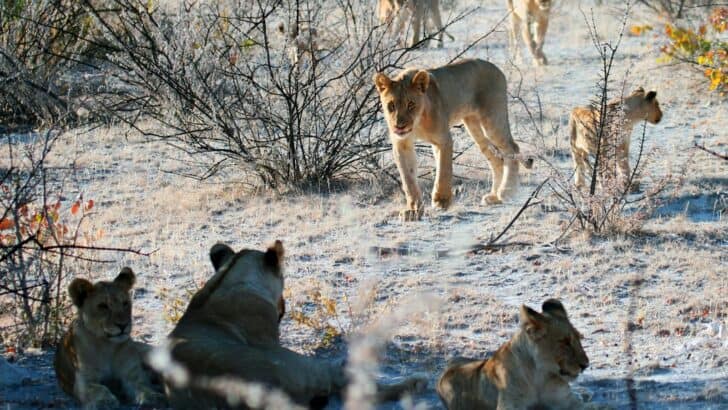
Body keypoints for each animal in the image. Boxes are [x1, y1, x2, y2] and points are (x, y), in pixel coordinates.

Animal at [54, 268, 166, 408]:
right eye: (103, 306)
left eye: (125, 303)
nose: (123, 325)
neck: (108, 346)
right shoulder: (83, 381)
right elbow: (99, 388)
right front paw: (105, 401)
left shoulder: (132, 374)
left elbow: (142, 385)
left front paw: (153, 396)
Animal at [373, 59, 534, 221]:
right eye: (391, 105)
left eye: (411, 104)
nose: (399, 125)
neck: (417, 123)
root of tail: (495, 67)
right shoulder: (402, 144)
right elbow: (408, 180)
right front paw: (413, 211)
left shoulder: (443, 140)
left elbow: (444, 171)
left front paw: (441, 201)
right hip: (474, 127)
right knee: (496, 159)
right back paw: (494, 197)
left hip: (493, 120)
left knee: (512, 148)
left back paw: (507, 191)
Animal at [437, 299, 590, 410]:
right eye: (565, 342)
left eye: (579, 337)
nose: (586, 365)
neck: (540, 376)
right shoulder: (510, 404)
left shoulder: (566, 400)